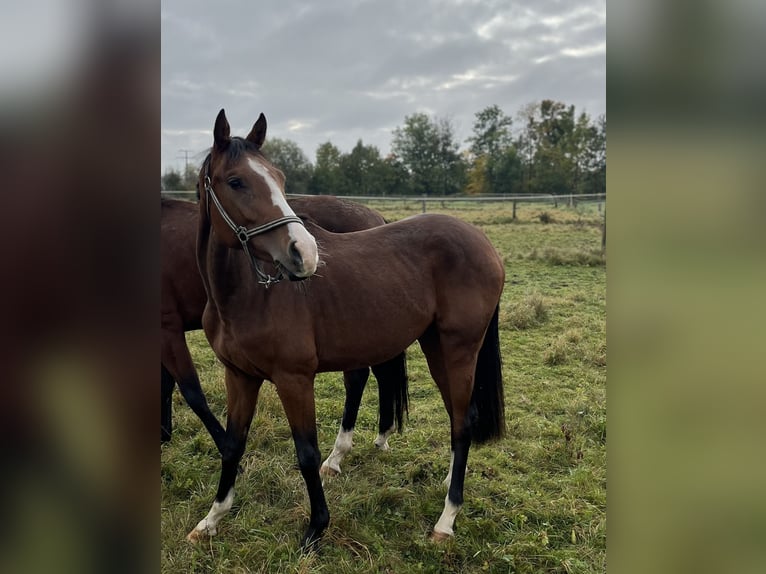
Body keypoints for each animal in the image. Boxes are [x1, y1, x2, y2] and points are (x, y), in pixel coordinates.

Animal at [161, 197, 408, 472]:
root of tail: (375, 217)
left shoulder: (168, 327)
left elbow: (192, 392)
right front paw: (164, 434)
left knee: (357, 379)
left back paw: (337, 456)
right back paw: (381, 435)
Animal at [187, 109, 505, 549]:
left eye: (280, 178)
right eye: (236, 181)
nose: (303, 254)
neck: (245, 294)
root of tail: (484, 243)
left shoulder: (293, 379)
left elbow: (306, 452)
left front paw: (316, 528)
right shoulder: (239, 376)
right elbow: (233, 445)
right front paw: (211, 519)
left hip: (458, 349)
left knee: (463, 419)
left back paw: (447, 517)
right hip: (435, 346)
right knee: (459, 416)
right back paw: (449, 483)